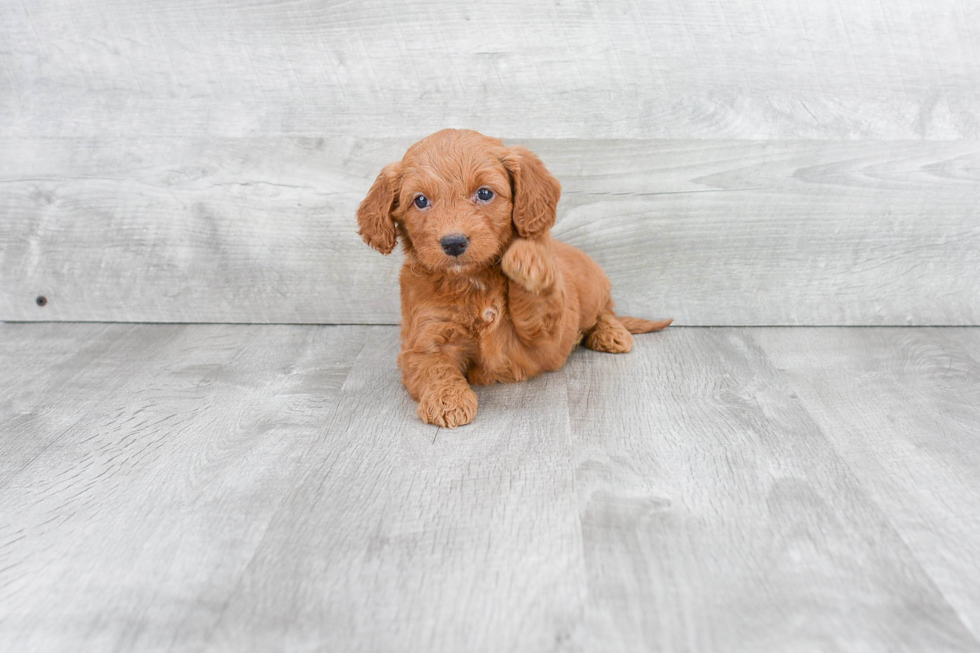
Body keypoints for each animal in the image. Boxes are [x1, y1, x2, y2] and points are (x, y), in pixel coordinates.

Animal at [356, 131, 668, 428]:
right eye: (420, 200)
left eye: (484, 193)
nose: (454, 243)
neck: (473, 281)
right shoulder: (423, 339)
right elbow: (435, 367)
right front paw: (448, 401)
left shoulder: (546, 336)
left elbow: (536, 303)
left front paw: (527, 257)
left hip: (594, 289)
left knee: (605, 311)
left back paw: (612, 333)